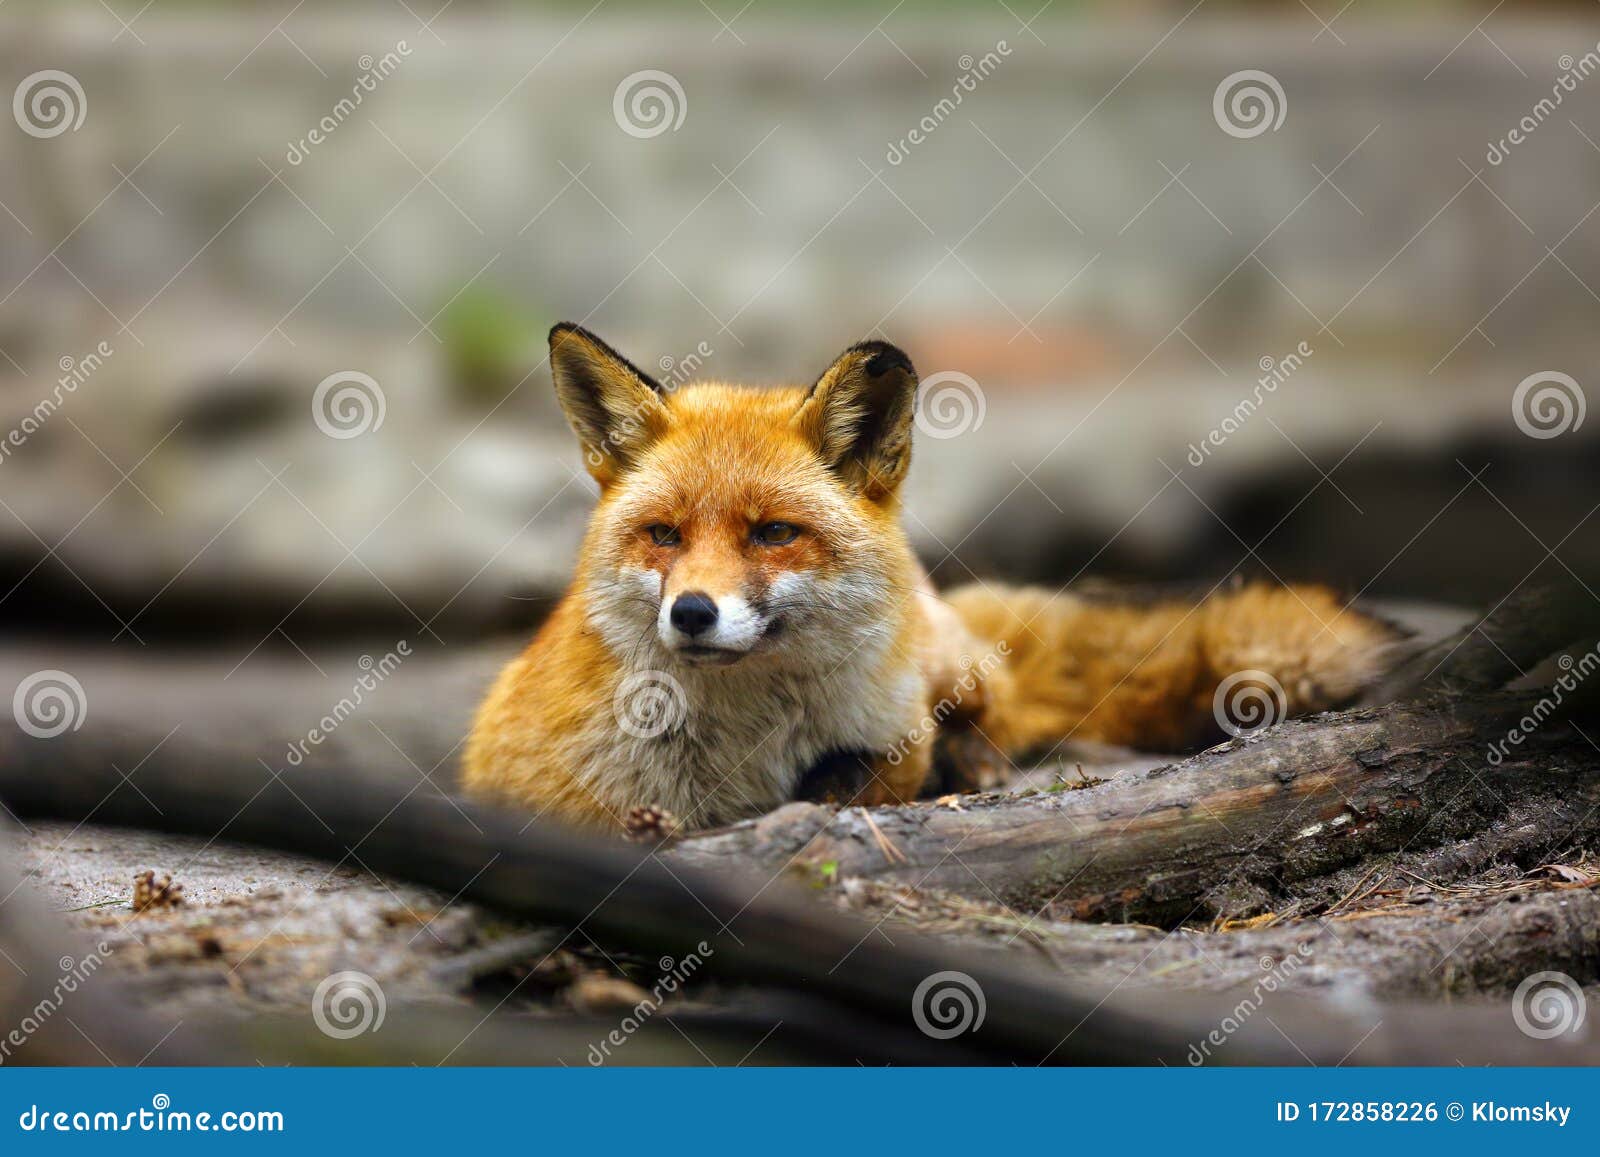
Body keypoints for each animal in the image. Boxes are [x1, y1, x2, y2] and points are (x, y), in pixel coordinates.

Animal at [462, 324, 1402, 832]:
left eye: (774, 533)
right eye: (663, 534)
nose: (693, 612)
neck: (740, 752)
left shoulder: (893, 731)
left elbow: (865, 779)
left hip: (945, 658)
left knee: (1000, 696)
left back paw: (976, 760)